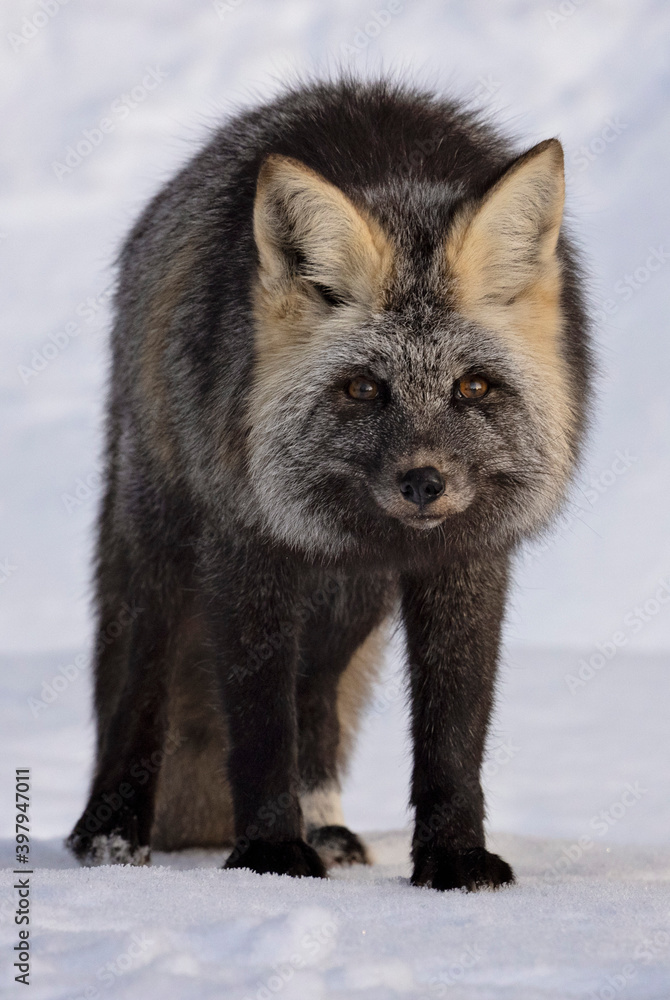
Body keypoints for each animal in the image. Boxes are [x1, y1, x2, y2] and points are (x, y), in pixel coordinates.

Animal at [67, 76, 591, 891]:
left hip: (351, 605)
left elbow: (453, 736)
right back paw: (111, 835)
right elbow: (259, 729)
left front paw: (454, 860)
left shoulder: (467, 561)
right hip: (165, 554)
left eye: (472, 387)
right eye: (363, 389)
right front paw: (270, 856)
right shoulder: (247, 552)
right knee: (143, 688)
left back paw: (327, 825)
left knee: (315, 700)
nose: (424, 483)